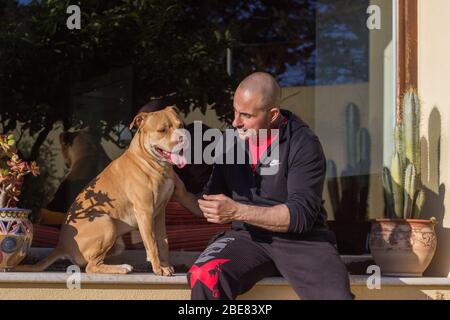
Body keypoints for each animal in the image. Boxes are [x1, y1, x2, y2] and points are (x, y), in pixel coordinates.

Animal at [16, 105, 186, 276]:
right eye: (162, 130)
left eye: (181, 125)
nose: (182, 138)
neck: (151, 162)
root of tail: (61, 246)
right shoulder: (145, 212)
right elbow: (152, 242)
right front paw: (158, 269)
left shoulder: (159, 213)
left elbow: (163, 242)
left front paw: (164, 265)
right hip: (107, 223)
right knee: (91, 267)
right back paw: (122, 268)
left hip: (117, 240)